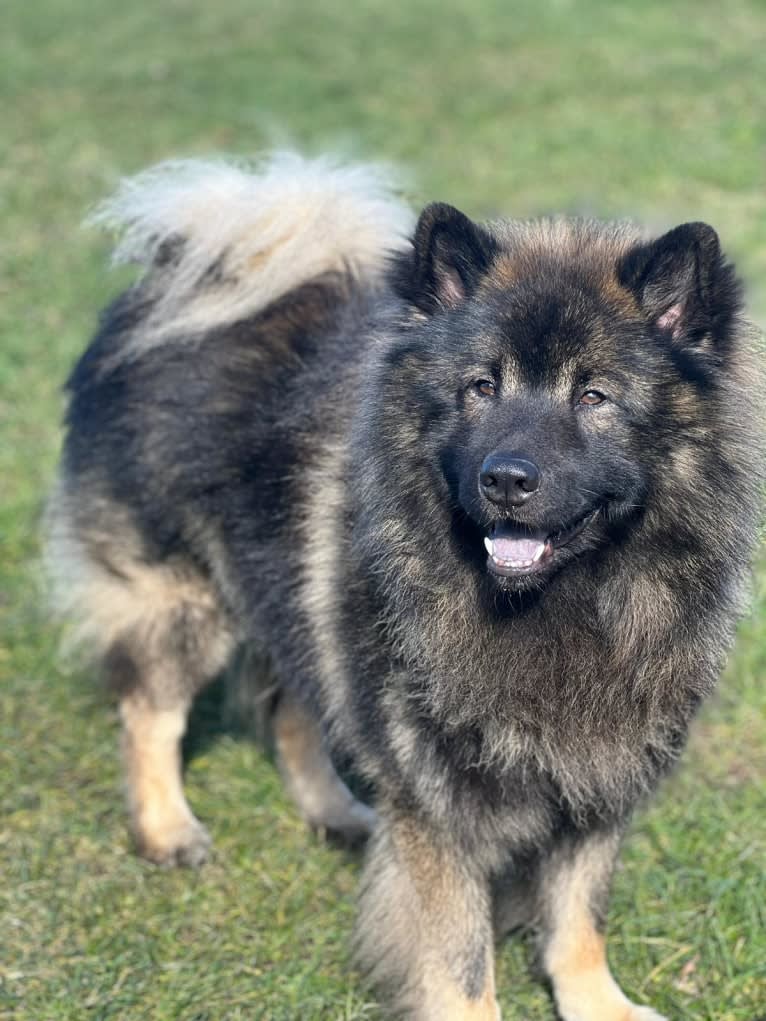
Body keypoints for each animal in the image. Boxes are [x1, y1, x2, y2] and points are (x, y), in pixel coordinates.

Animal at [46, 153, 763, 1021]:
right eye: (481, 387)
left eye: (594, 396)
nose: (506, 479)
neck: (568, 604)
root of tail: (175, 285)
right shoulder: (441, 802)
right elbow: (461, 961)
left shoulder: (600, 769)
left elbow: (577, 916)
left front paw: (599, 1003)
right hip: (179, 595)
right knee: (151, 711)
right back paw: (167, 829)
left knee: (294, 706)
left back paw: (335, 812)